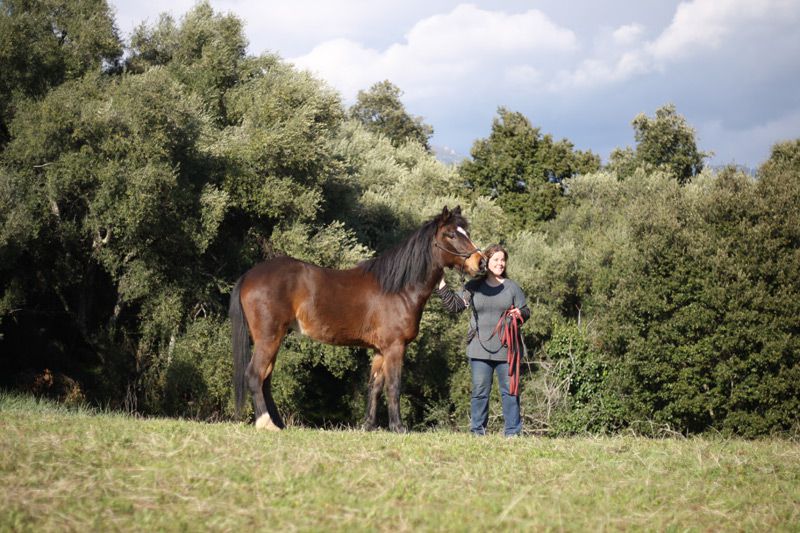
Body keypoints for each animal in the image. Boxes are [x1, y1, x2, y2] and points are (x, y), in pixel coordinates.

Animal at [229, 206, 484, 432]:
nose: (480, 262)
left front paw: (368, 425)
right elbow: (393, 386)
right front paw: (398, 427)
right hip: (268, 338)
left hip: (273, 338)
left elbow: (375, 386)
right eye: (451, 234)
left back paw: (279, 424)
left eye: (466, 232)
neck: (398, 289)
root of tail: (249, 276)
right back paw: (266, 424)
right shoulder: (395, 347)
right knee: (255, 375)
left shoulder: (380, 350)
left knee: (265, 379)